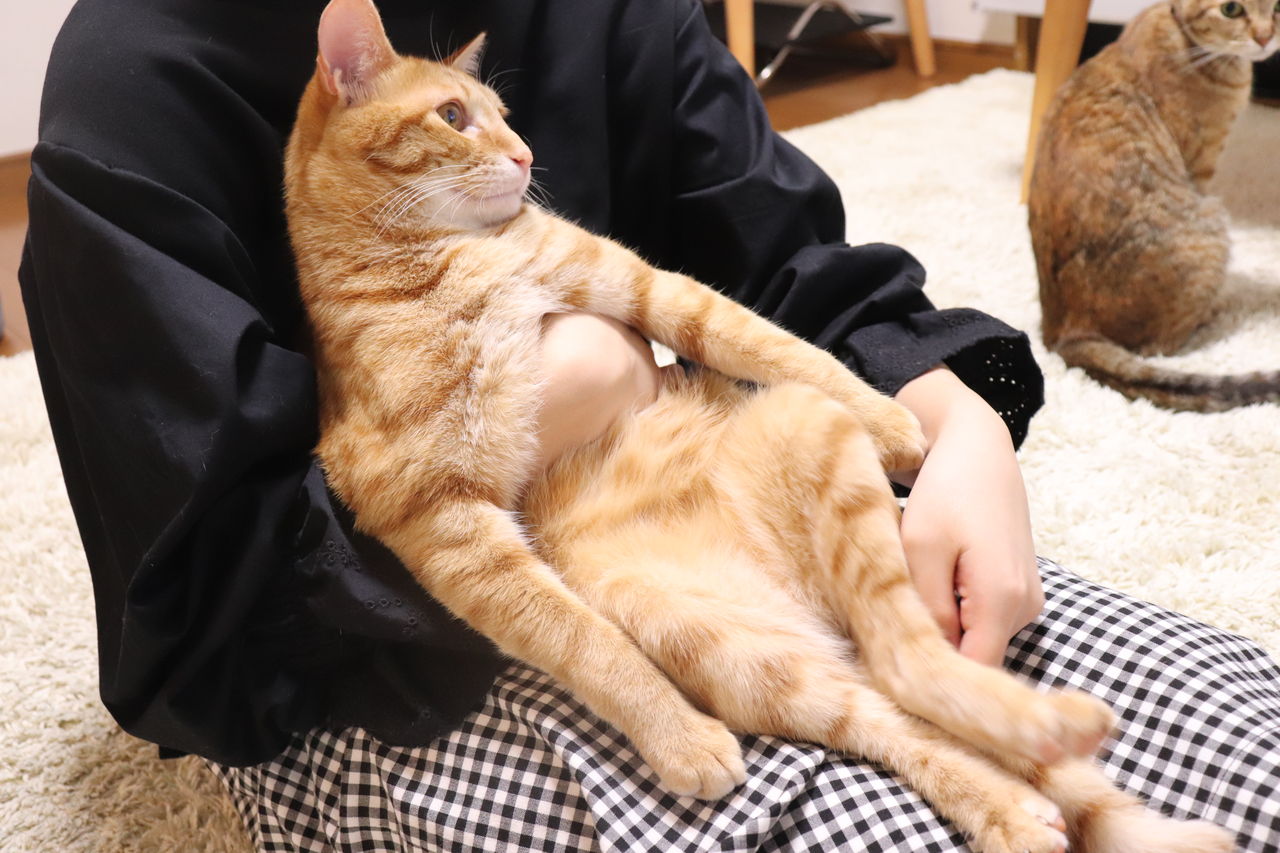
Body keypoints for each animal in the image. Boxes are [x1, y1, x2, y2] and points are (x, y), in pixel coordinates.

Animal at [1029, 0, 1280, 412]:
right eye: (1231, 9)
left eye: (1276, 9)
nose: (1265, 37)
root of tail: (1063, 332)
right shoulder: (1200, 167)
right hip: (1211, 225)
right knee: (1161, 345)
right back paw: (1214, 311)